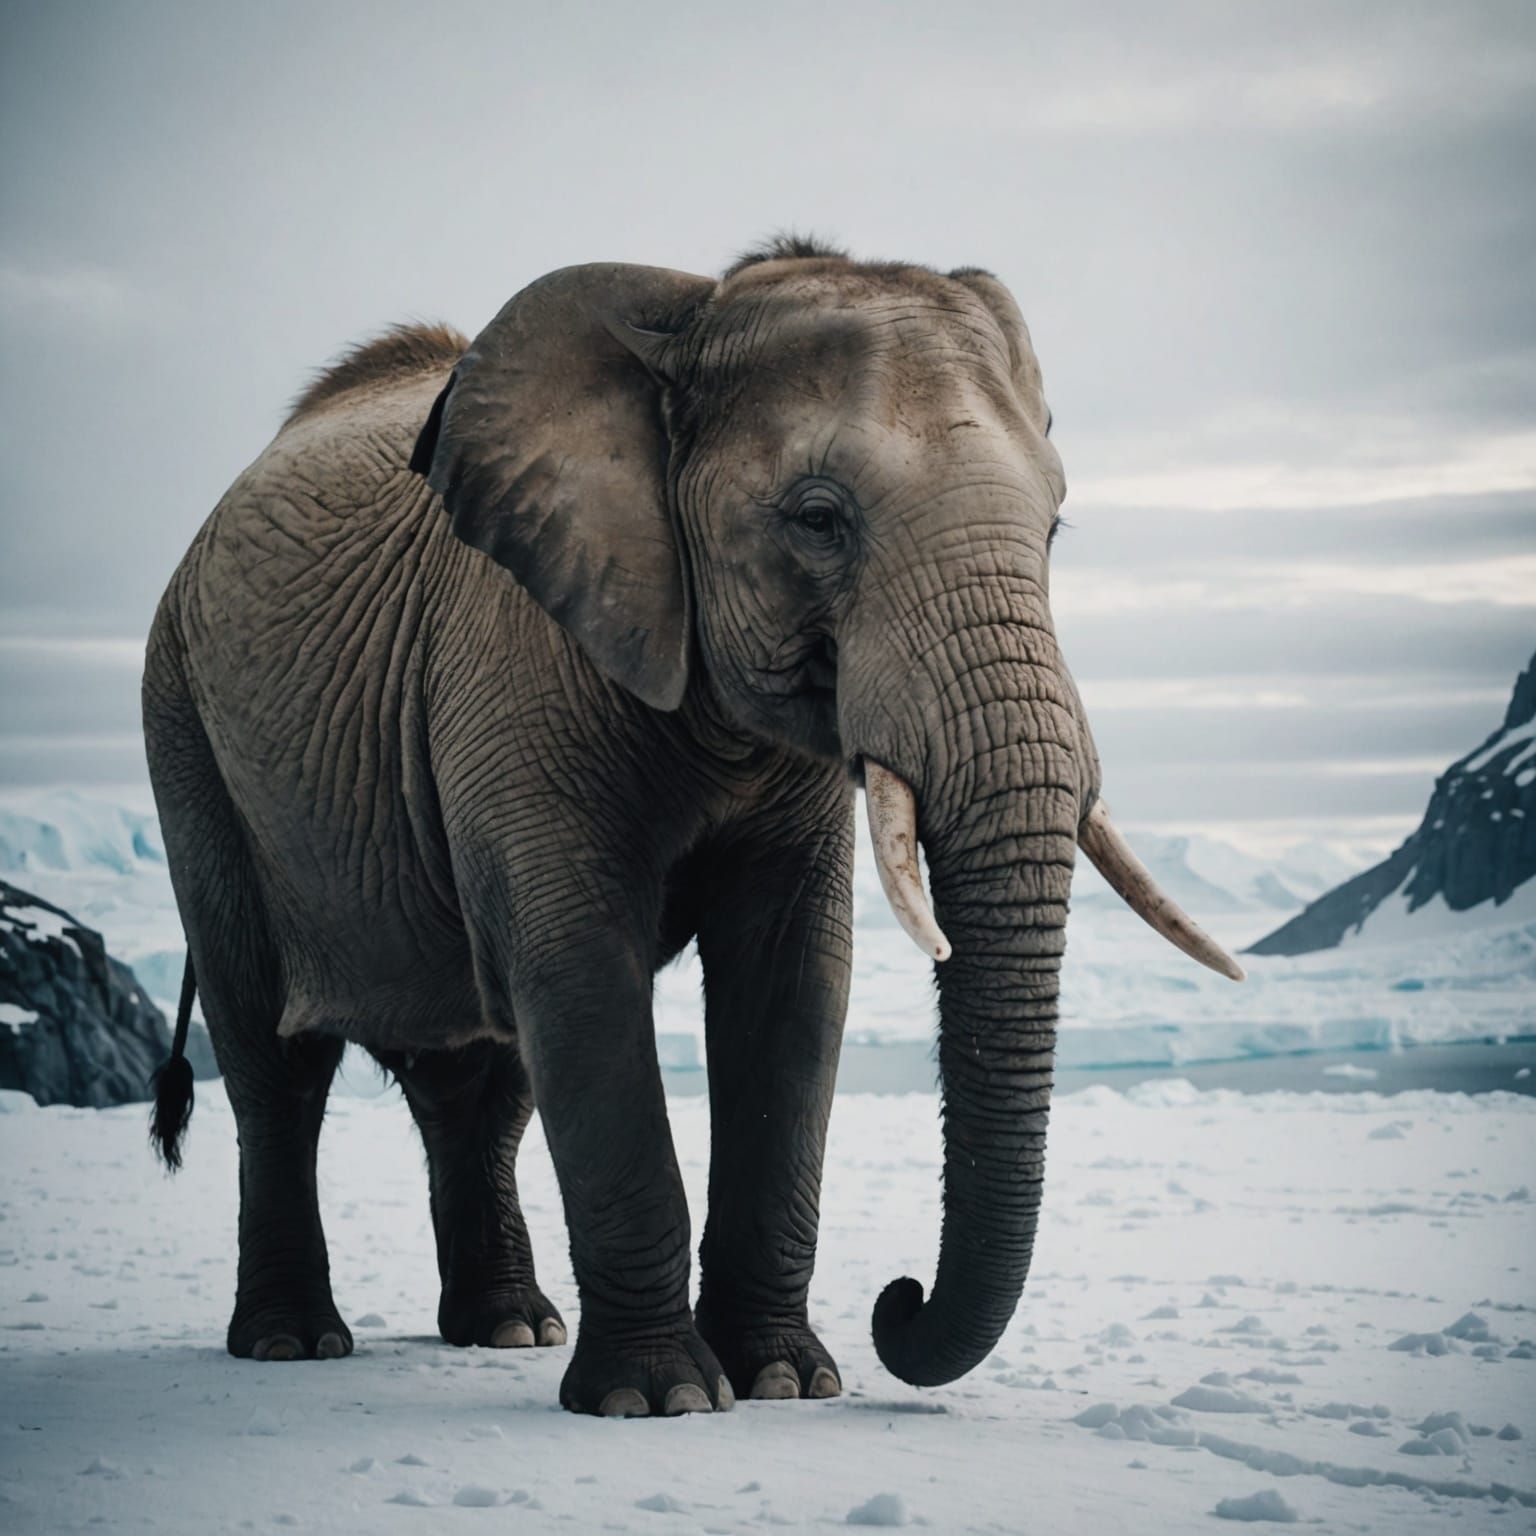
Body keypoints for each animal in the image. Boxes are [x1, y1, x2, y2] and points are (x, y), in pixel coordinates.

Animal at [142, 235, 1241, 1417]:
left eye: (1053, 526)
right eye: (818, 519)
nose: (898, 1299)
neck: (695, 320)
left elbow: (793, 984)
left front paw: (785, 1383)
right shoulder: (514, 662)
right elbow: (579, 974)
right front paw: (659, 1400)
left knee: (481, 1077)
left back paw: (510, 1330)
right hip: (187, 731)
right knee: (275, 1062)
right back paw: (293, 1344)